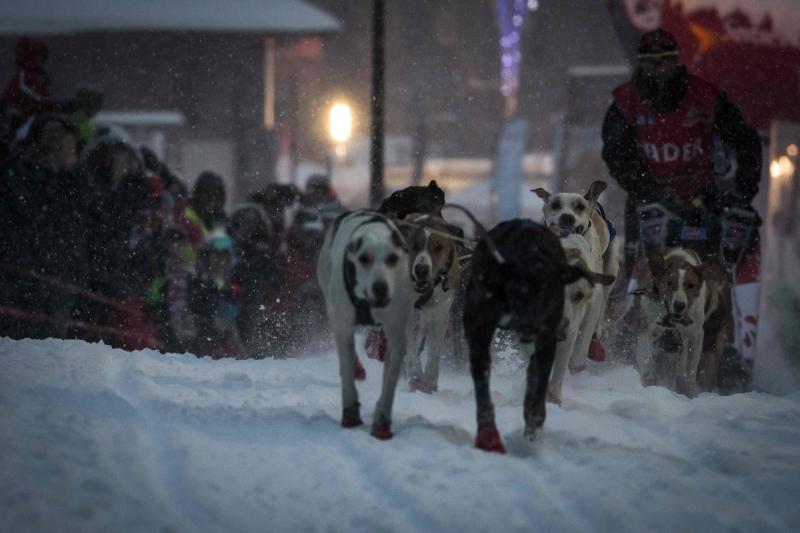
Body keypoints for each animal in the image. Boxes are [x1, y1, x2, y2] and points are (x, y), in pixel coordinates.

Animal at [400, 212, 462, 390]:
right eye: (414, 245)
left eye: (438, 247)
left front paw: (429, 381)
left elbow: (434, 350)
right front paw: (415, 375)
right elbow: (411, 348)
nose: (421, 269)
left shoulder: (440, 312)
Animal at [466, 218, 592, 450]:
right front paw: (488, 433)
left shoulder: (550, 341)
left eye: (550, 292)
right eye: (520, 289)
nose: (560, 327)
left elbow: (540, 384)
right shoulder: (478, 331)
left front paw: (533, 429)